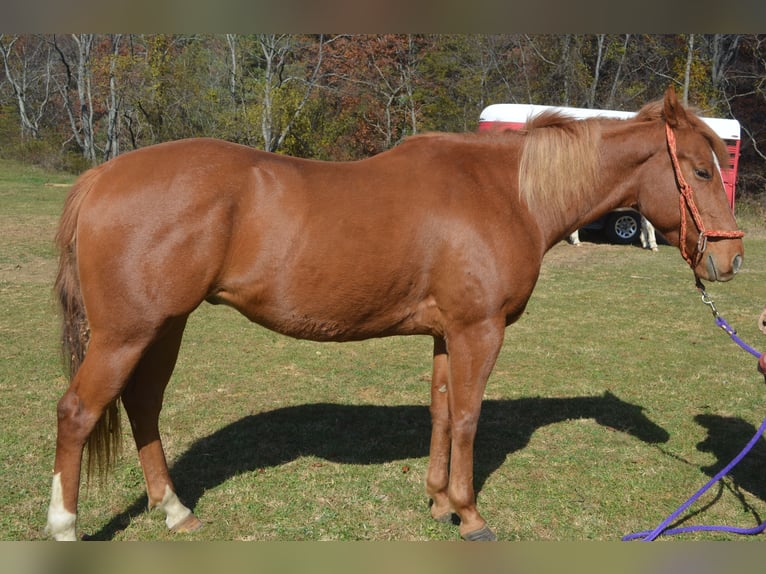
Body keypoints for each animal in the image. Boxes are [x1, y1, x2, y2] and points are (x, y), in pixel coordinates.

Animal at [46, 85, 744, 540]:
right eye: (702, 170)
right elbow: (467, 418)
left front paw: (436, 502)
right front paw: (469, 514)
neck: (508, 193)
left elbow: (440, 412)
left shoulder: (445, 334)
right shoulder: (479, 332)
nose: (729, 259)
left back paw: (175, 510)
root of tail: (101, 177)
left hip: (163, 328)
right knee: (78, 413)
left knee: (142, 407)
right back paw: (65, 527)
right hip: (126, 334)